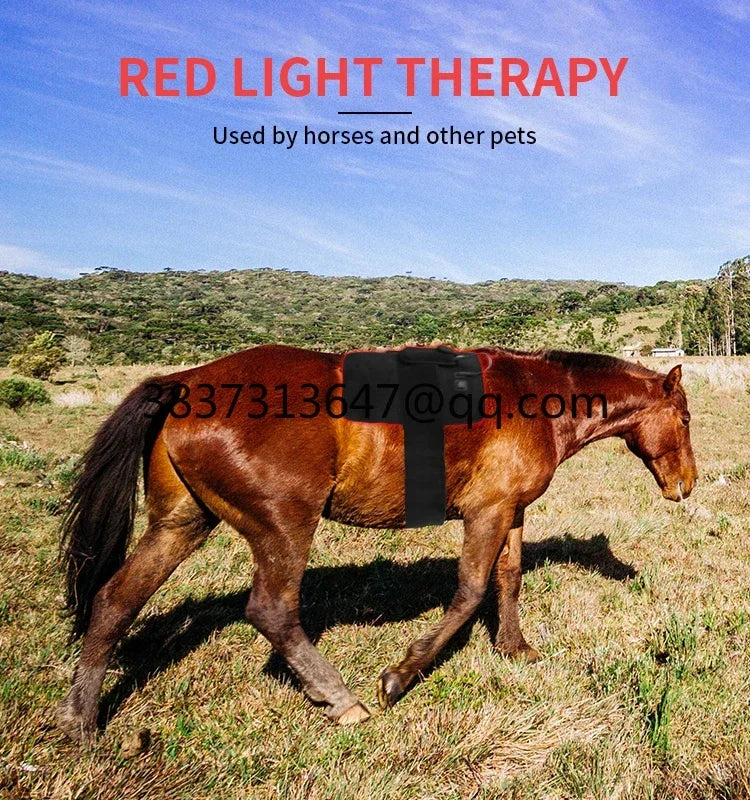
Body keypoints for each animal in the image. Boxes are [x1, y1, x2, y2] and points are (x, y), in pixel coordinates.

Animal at [56, 345, 697, 743]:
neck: (533, 398)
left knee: (115, 601)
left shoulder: (510, 510)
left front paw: (514, 648)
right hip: (283, 526)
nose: (686, 484)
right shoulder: (486, 513)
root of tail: (184, 382)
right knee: (272, 612)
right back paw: (341, 699)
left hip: (182, 524)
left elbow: (508, 580)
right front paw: (403, 674)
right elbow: (469, 593)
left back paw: (81, 721)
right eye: (686, 419)